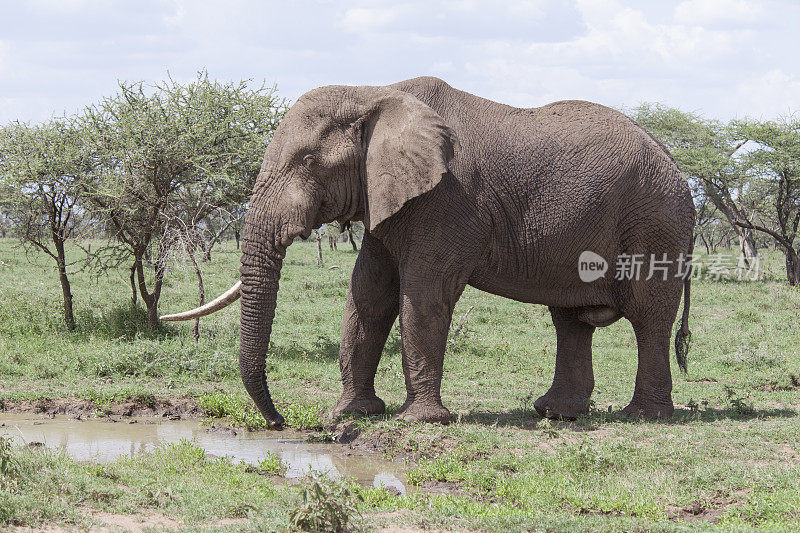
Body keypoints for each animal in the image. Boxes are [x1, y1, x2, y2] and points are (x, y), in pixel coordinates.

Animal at [162, 75, 692, 426]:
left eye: (308, 162)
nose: (281, 422)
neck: (373, 94)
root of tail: (674, 160)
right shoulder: (387, 199)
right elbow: (368, 296)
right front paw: (353, 414)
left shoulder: (448, 199)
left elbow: (424, 295)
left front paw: (420, 421)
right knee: (571, 320)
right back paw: (556, 414)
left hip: (656, 224)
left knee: (648, 316)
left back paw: (644, 417)